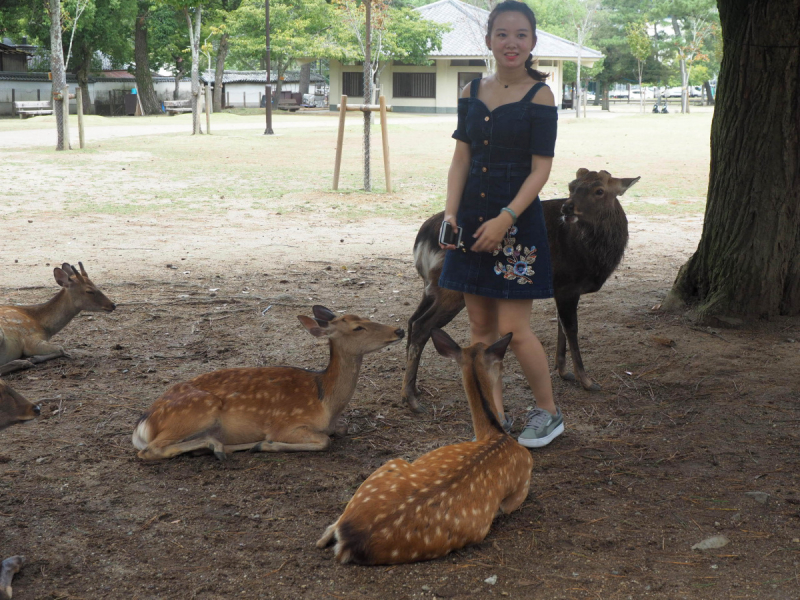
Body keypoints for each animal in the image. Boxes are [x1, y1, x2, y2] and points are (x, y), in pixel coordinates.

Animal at [316, 330, 536, 564]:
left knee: (324, 535)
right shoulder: (521, 487)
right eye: (500, 364)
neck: (497, 436)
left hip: (386, 469)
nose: (503, 371)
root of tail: (350, 541)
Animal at [404, 170, 640, 412]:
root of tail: (422, 240)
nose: (567, 208)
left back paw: (414, 390)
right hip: (451, 290)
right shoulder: (569, 287)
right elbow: (571, 330)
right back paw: (412, 400)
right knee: (422, 326)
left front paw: (563, 371)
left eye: (599, 190)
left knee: (411, 321)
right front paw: (587, 381)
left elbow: (561, 327)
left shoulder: (560, 287)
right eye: (572, 186)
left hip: (430, 287)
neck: (592, 256)